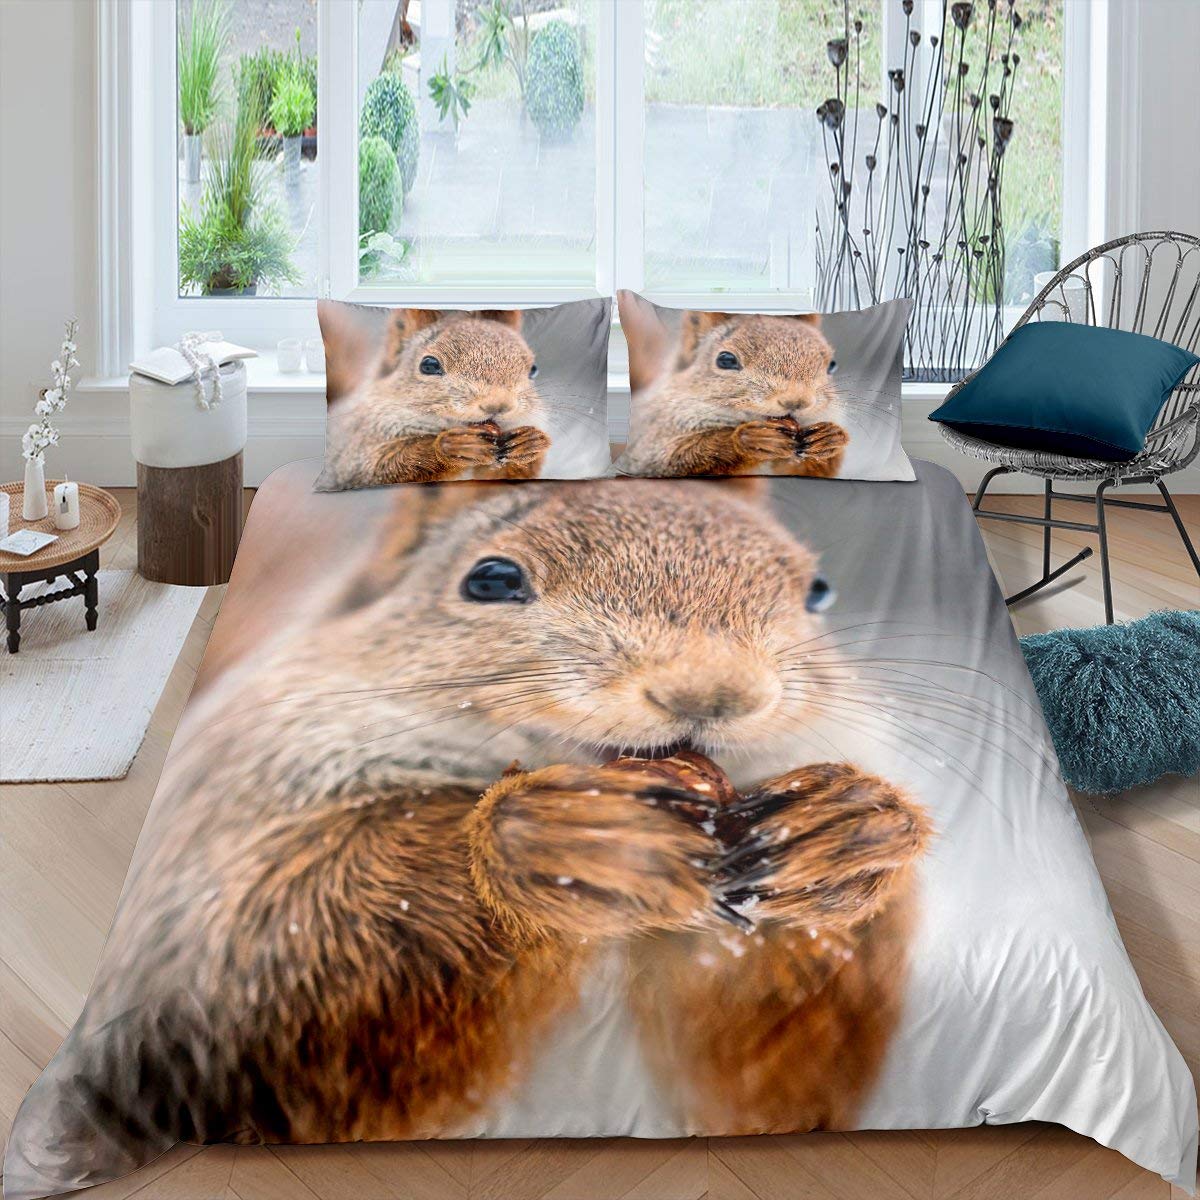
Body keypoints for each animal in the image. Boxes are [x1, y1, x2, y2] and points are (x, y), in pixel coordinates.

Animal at [6, 479, 930, 1192]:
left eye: (818, 593)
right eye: (490, 580)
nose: (715, 692)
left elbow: (767, 1076)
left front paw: (850, 828)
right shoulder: (208, 872)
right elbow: (290, 951)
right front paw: (551, 837)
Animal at [319, 305, 551, 488]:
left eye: (533, 370)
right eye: (429, 365)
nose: (499, 404)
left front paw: (530, 442)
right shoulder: (354, 450)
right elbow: (378, 466)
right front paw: (452, 446)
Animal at [616, 300, 851, 479]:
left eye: (832, 365)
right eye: (726, 360)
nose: (798, 401)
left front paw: (831, 438)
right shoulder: (650, 440)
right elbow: (672, 458)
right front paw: (750, 439)